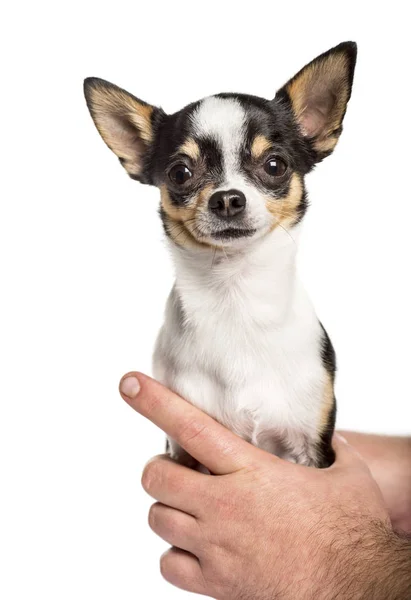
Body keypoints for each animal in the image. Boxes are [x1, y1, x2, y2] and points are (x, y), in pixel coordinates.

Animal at [86, 42, 358, 468]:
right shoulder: (183, 450)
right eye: (180, 173)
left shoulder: (313, 448)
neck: (236, 294)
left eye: (275, 165)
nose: (228, 198)